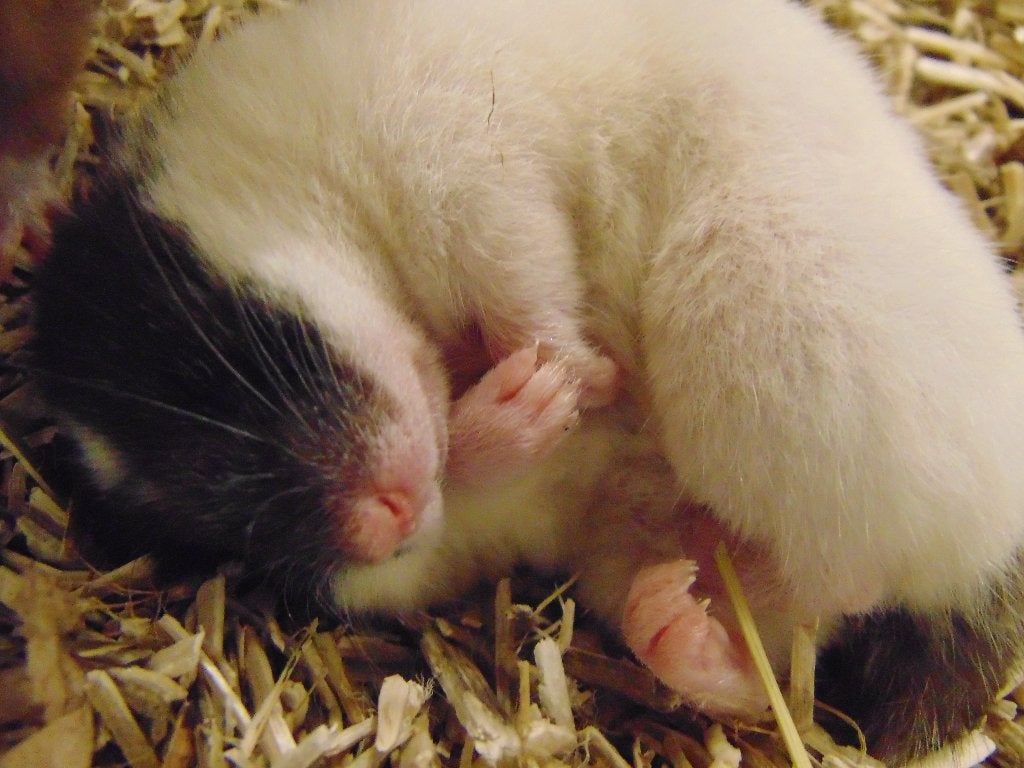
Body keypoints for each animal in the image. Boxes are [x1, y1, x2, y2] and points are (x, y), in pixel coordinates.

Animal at [28, 0, 1024, 761]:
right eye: (207, 530)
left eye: (210, 353)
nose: (378, 526)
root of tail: (988, 559)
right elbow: (452, 483)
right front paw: (531, 405)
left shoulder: (464, 171)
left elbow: (524, 285)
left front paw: (577, 376)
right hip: (650, 538)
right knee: (781, 651)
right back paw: (676, 623)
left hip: (754, 342)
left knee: (846, 583)